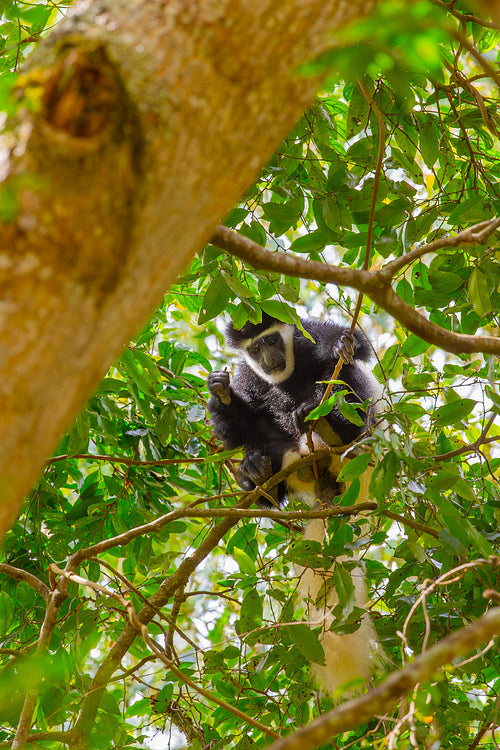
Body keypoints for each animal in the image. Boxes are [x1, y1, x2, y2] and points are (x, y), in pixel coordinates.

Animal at [207, 312, 382, 700]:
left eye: (272, 341)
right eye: (255, 348)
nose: (268, 359)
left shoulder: (308, 331)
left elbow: (352, 352)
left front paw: (342, 346)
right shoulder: (249, 374)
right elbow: (236, 431)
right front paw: (221, 393)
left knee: (343, 386)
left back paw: (330, 427)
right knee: (258, 433)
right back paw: (258, 476)